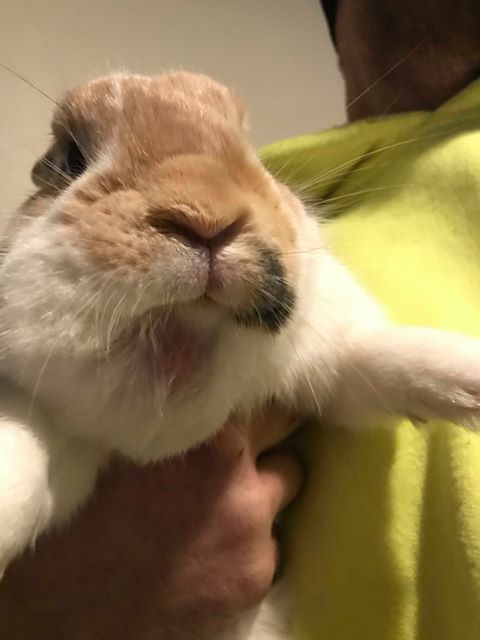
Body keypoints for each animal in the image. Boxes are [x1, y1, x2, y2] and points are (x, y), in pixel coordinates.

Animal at [1, 71, 480, 639]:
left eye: (252, 155)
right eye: (71, 157)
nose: (207, 218)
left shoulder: (329, 358)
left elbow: (383, 360)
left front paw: (470, 380)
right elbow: (23, 462)